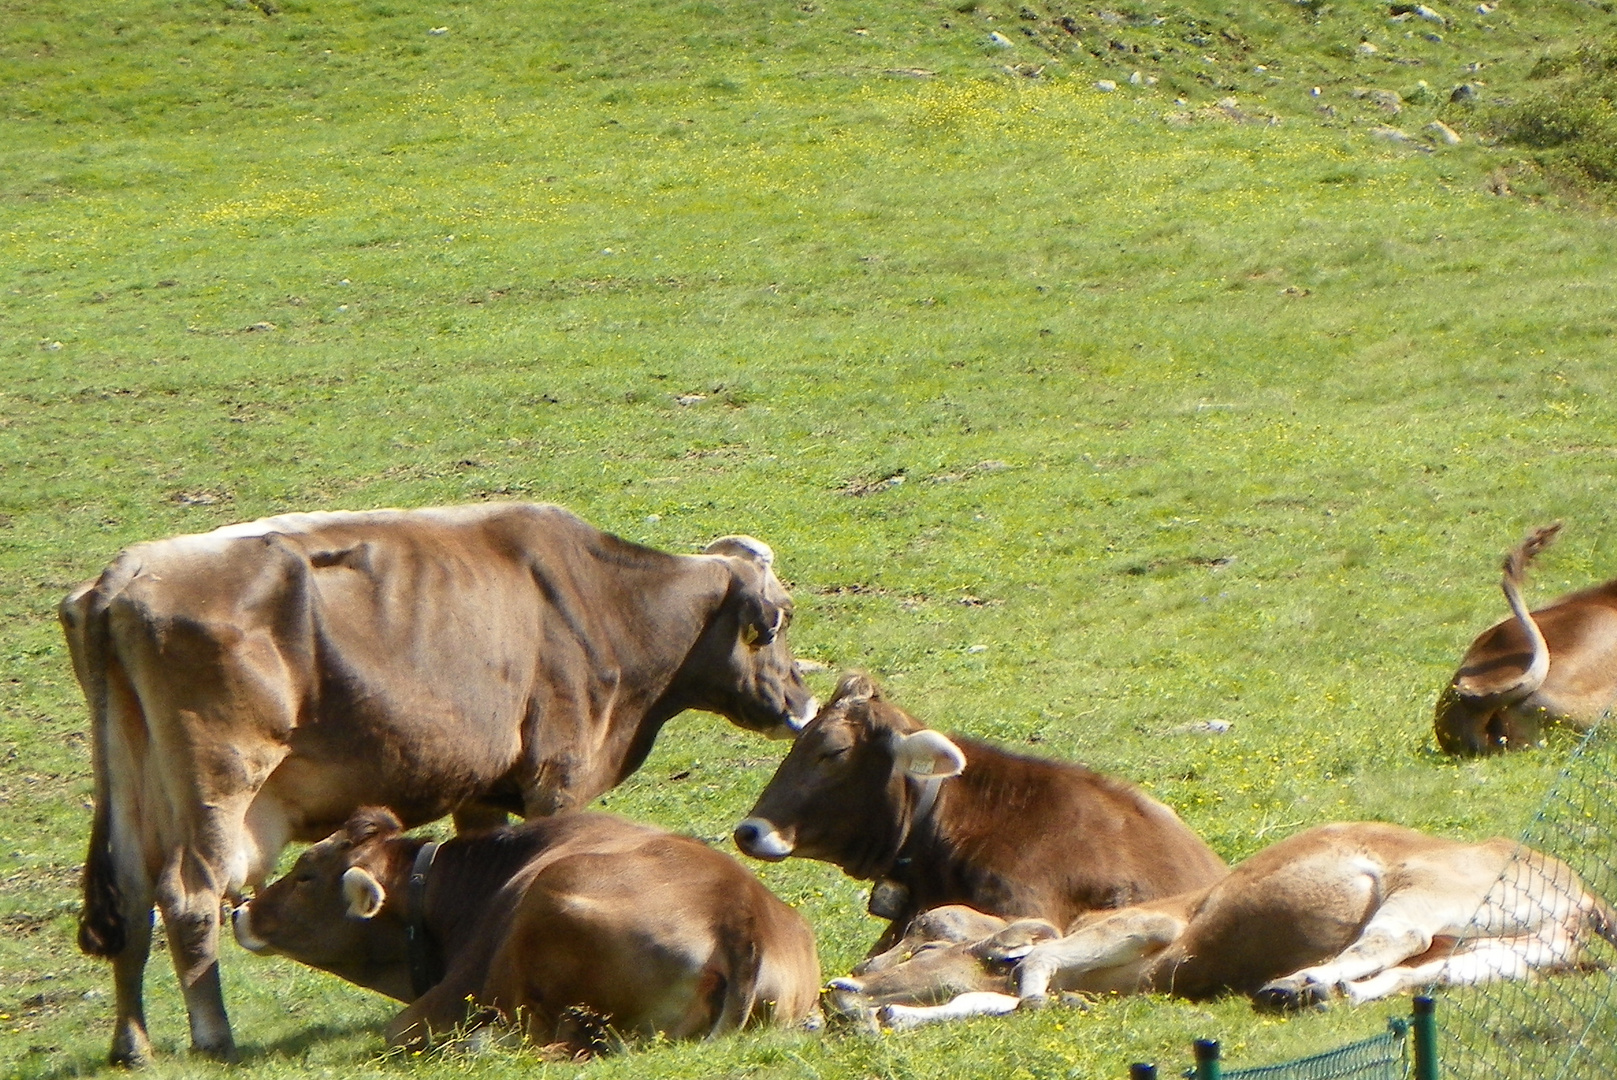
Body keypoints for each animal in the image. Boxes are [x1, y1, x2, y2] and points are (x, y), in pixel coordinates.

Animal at [821, 821, 1617, 1028]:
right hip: (1505, 951)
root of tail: (1583, 893)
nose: (843, 986)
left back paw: (1294, 984)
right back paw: (1320, 992)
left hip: (1427, 893)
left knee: (1395, 939)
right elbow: (978, 1000)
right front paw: (896, 1015)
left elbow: (1029, 975)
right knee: (1417, 976)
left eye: (925, 935)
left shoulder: (1142, 930)